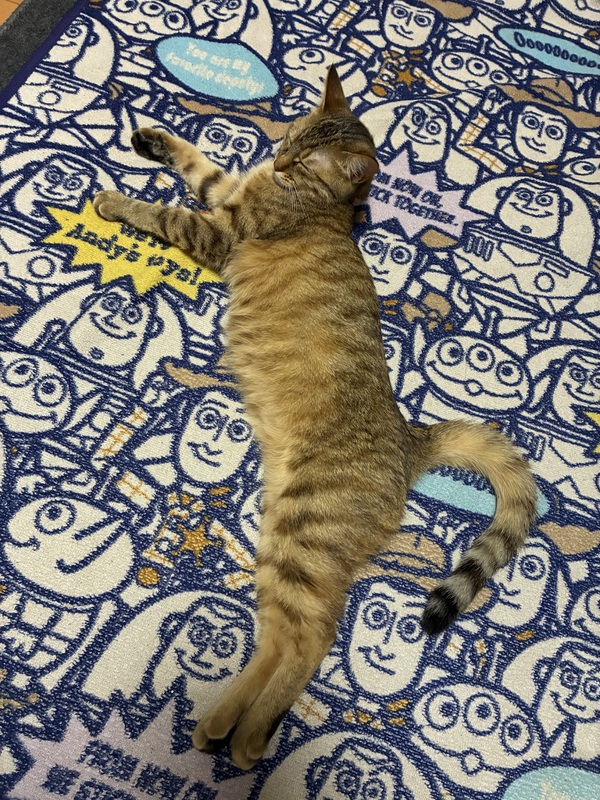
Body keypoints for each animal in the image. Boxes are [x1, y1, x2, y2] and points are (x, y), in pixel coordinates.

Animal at [93, 66, 537, 770]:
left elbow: (164, 210)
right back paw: (225, 720)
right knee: (282, 636)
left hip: (305, 529)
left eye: (302, 160)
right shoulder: (227, 191)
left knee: (313, 636)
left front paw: (114, 199)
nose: (277, 159)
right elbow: (199, 163)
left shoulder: (220, 232)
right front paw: (154, 140)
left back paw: (245, 737)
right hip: (281, 539)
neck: (317, 201)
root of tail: (411, 440)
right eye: (290, 139)